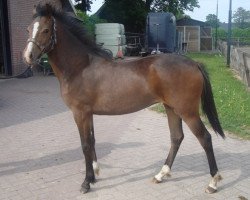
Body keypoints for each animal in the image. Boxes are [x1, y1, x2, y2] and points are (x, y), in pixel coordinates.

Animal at [23, 2, 225, 194]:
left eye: (46, 30)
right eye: (28, 29)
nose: (28, 56)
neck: (80, 67)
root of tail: (194, 63)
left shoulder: (80, 113)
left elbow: (85, 145)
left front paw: (86, 183)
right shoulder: (88, 114)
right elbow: (92, 142)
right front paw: (94, 175)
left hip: (187, 111)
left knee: (205, 138)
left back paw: (213, 183)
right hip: (171, 108)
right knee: (176, 137)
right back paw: (161, 174)